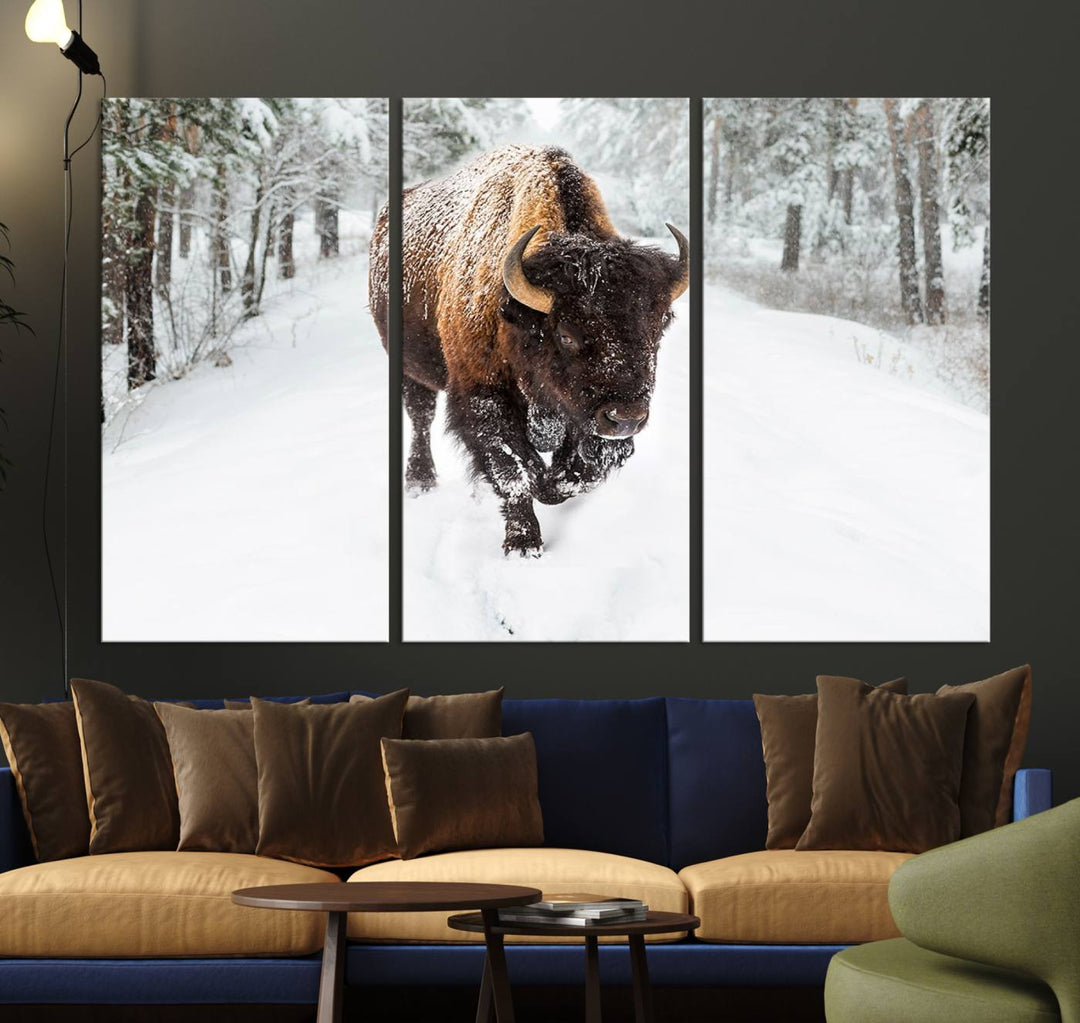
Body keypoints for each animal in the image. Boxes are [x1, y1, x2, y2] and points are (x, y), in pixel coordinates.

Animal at [371, 142, 686, 557]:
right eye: (566, 334)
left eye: (660, 325)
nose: (626, 418)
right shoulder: (483, 398)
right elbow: (514, 471)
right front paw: (523, 544)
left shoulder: (582, 418)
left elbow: (577, 473)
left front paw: (549, 487)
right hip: (409, 366)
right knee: (421, 417)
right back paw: (420, 481)